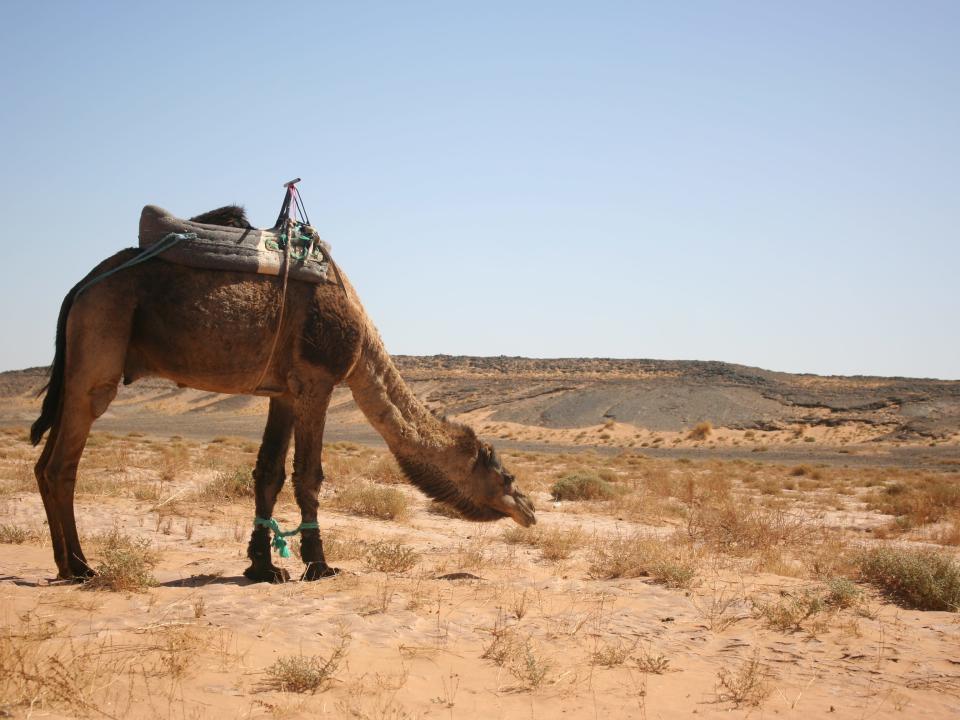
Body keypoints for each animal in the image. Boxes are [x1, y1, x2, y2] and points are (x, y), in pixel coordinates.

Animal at [30, 205, 536, 584]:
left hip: (78, 362)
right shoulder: (317, 381)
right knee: (62, 464)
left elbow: (267, 473)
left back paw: (65, 564)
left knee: (43, 462)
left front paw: (262, 568)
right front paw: (319, 565)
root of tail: (81, 286)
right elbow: (309, 475)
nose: (530, 510)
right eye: (505, 477)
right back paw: (82, 567)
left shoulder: (284, 392)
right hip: (100, 342)